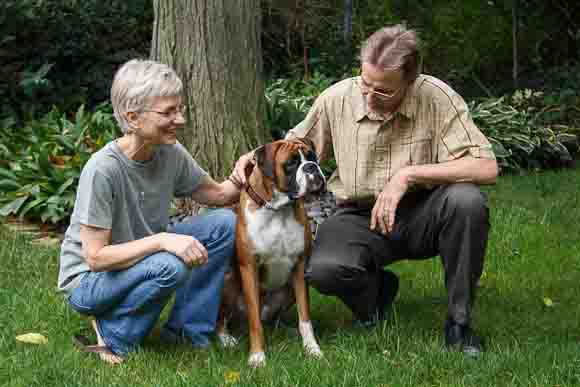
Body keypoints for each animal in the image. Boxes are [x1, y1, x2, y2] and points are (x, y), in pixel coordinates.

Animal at [218, 138, 326, 368]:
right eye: (291, 164)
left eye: (312, 156)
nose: (311, 167)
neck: (277, 209)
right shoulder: (249, 268)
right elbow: (255, 322)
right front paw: (257, 356)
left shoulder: (300, 268)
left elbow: (305, 317)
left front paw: (312, 349)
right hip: (229, 284)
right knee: (223, 318)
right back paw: (226, 339)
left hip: (289, 291)